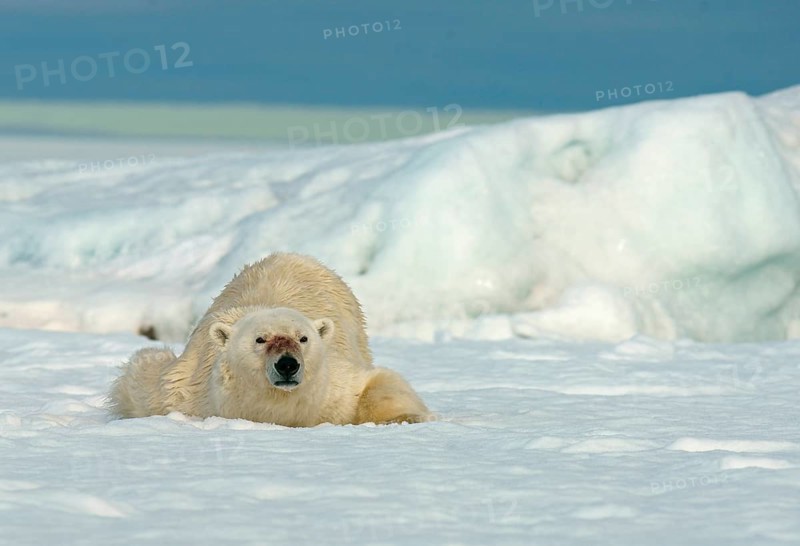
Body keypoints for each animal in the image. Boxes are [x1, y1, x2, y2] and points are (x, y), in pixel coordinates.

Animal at [108, 252, 431, 426]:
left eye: (303, 338)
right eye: (260, 339)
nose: (287, 365)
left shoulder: (335, 386)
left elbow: (379, 383)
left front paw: (407, 418)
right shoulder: (185, 393)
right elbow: (144, 375)